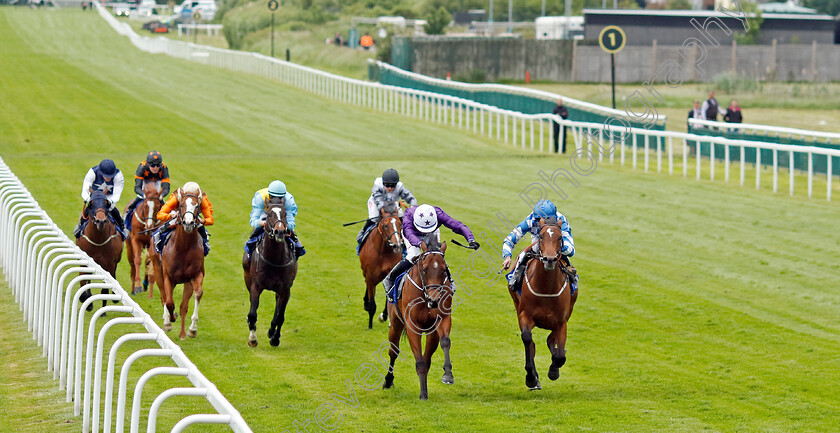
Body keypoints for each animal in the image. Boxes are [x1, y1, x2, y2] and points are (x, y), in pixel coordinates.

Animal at [241, 196, 296, 348]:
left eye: (285, 214)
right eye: (270, 214)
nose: (280, 232)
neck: (275, 259)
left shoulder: (285, 289)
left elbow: (280, 317)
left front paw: (275, 338)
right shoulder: (256, 286)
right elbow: (252, 314)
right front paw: (253, 339)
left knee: (278, 308)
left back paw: (272, 331)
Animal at [384, 238, 456, 400]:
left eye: (444, 270)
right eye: (424, 269)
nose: (434, 300)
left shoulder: (442, 320)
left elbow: (444, 343)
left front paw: (447, 375)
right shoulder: (412, 326)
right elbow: (420, 361)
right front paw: (423, 393)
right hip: (395, 324)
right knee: (393, 351)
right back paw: (388, 380)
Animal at [512, 218, 576, 390]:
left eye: (560, 237)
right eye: (541, 236)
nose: (550, 259)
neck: (546, 288)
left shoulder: (561, 322)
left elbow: (560, 356)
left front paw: (554, 370)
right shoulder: (524, 315)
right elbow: (528, 339)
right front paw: (531, 377)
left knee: (550, 341)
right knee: (532, 343)